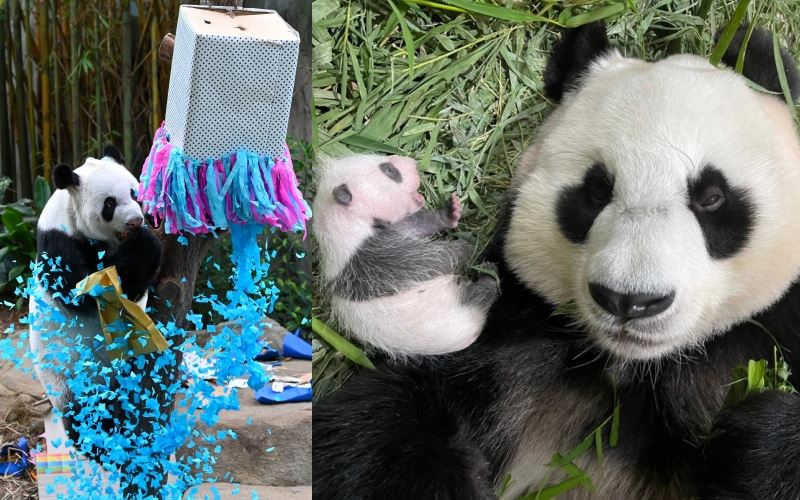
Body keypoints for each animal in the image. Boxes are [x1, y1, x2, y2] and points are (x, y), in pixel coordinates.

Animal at [29, 145, 163, 458]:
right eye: (109, 203)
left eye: (134, 193)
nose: (136, 220)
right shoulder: (59, 245)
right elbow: (94, 293)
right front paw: (144, 242)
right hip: (71, 375)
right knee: (89, 413)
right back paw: (110, 441)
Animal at [314, 154, 498, 356]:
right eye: (389, 170)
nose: (414, 162)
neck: (343, 219)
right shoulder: (367, 259)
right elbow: (424, 261)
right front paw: (465, 249)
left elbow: (414, 226)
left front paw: (450, 212)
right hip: (458, 310)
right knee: (478, 297)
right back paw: (489, 275)